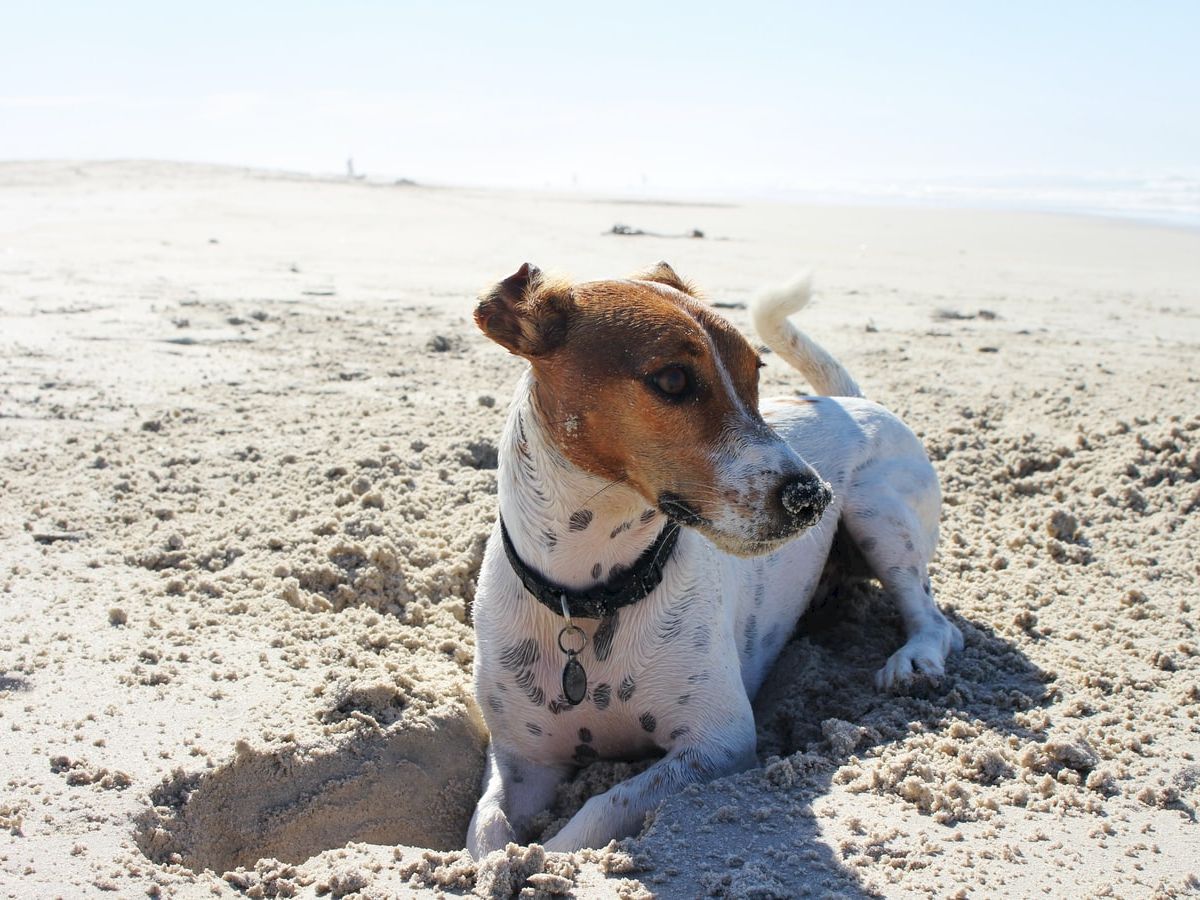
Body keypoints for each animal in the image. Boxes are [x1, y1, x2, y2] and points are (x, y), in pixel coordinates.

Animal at [463, 262, 960, 859]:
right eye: (673, 380)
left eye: (756, 373)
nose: (813, 497)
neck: (591, 596)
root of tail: (859, 401)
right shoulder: (521, 761)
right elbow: (486, 831)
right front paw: (498, 864)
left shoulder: (718, 743)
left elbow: (600, 810)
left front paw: (553, 856)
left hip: (879, 513)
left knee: (934, 618)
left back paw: (914, 661)